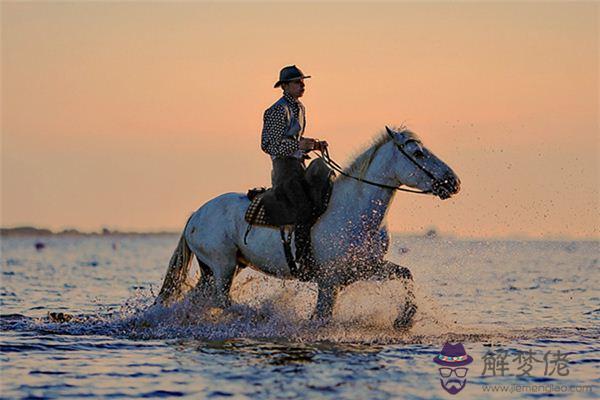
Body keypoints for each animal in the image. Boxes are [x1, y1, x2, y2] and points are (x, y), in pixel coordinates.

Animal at [155, 126, 460, 330]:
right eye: (418, 152)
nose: (453, 181)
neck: (355, 212)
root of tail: (195, 215)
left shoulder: (364, 268)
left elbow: (405, 274)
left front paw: (404, 319)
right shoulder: (329, 281)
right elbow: (323, 317)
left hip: (219, 268)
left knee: (200, 299)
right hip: (223, 265)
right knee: (222, 301)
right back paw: (259, 315)